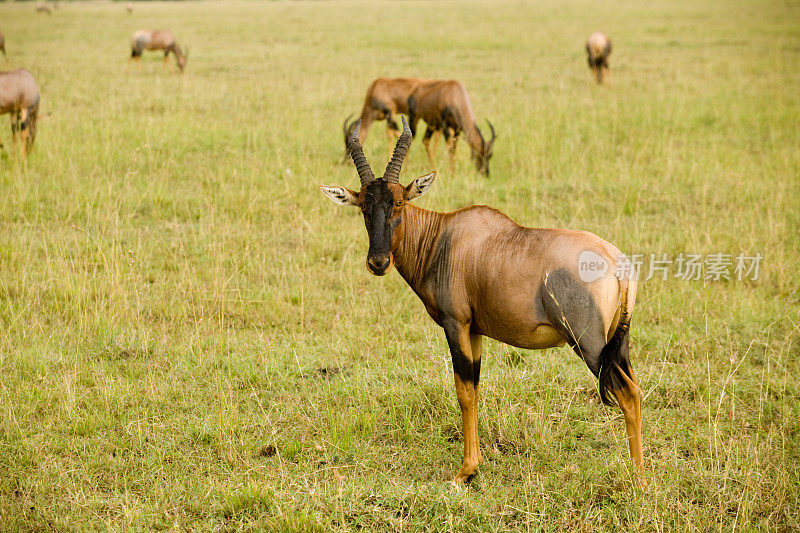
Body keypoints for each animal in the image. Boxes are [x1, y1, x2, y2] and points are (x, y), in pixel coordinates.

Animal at [318, 119, 644, 482]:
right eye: (363, 205)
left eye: (399, 202)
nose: (378, 262)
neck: (444, 236)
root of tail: (619, 263)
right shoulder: (475, 330)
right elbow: (474, 388)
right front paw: (474, 465)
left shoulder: (455, 324)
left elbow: (462, 391)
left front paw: (465, 472)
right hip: (618, 344)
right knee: (636, 390)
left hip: (589, 344)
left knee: (627, 394)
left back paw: (639, 481)